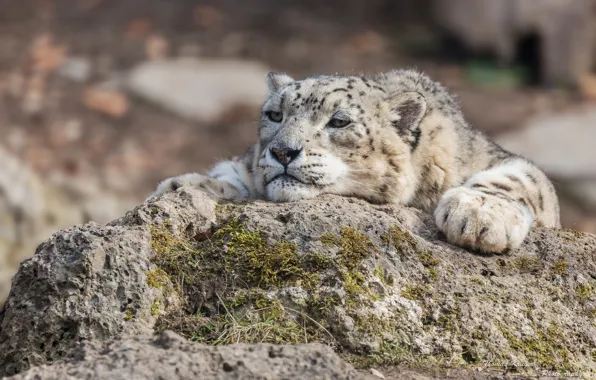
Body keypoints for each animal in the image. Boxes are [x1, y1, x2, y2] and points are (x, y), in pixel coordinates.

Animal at [148, 70, 560, 254]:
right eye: (274, 115)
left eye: (339, 121)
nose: (282, 152)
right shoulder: (247, 162)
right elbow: (232, 171)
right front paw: (185, 186)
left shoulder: (499, 160)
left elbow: (521, 178)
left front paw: (477, 216)